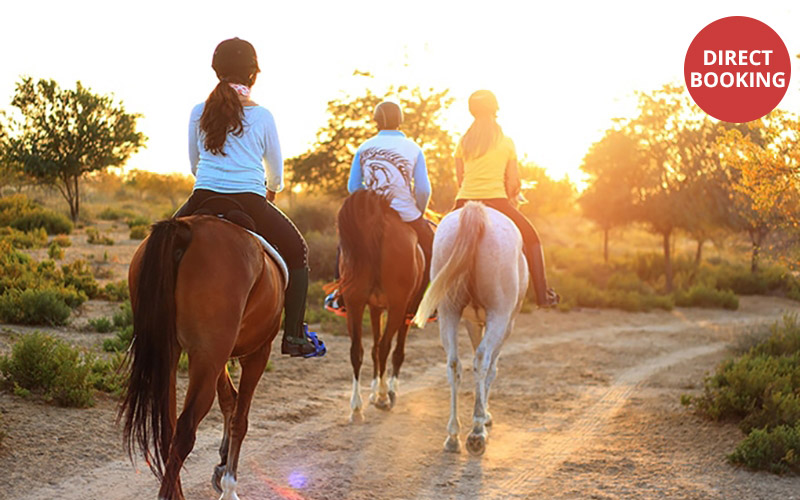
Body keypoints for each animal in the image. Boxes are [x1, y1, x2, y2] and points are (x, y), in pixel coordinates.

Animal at [120, 217, 286, 500]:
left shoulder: (218, 356)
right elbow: (239, 418)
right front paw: (229, 485)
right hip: (208, 359)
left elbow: (229, 400)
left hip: (175, 356)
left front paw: (222, 466)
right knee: (185, 431)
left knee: (168, 428)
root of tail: (184, 228)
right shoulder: (257, 353)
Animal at [336, 189, 424, 420]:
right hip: (398, 306)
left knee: (357, 350)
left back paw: (356, 408)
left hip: (354, 304)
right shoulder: (405, 310)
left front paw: (374, 390)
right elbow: (395, 351)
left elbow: (373, 347)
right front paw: (386, 390)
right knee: (386, 347)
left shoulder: (374, 308)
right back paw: (385, 398)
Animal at [412, 201, 532, 456]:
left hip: (448, 311)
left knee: (454, 363)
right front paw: (484, 415)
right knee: (482, 360)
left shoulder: (471, 321)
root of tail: (475, 211)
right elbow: (491, 368)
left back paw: (453, 436)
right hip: (499, 315)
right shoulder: (507, 324)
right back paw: (477, 433)